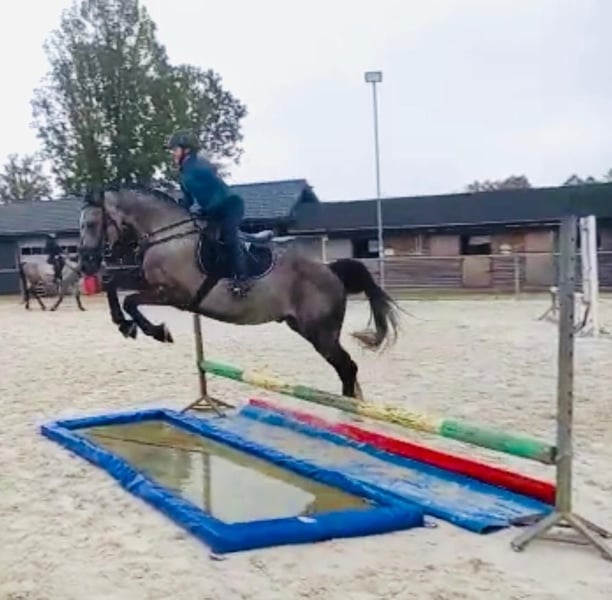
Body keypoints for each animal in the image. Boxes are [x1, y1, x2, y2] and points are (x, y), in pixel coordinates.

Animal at [77, 185, 400, 399]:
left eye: (91, 223)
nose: (86, 262)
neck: (168, 235)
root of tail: (331, 270)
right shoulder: (148, 282)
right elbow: (113, 286)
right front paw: (124, 325)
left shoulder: (173, 295)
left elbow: (131, 301)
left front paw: (156, 331)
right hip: (304, 327)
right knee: (346, 369)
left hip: (321, 333)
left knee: (347, 368)